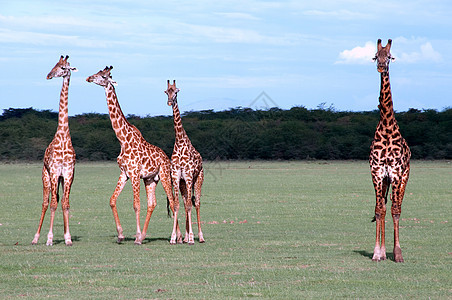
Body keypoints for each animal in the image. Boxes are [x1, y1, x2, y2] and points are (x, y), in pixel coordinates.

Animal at [87, 67, 181, 245]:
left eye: (103, 76)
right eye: (98, 72)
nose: (89, 78)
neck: (122, 139)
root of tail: (167, 158)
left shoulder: (135, 173)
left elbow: (136, 204)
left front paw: (136, 237)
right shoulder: (124, 173)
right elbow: (112, 200)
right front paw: (121, 235)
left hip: (165, 175)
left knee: (172, 202)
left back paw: (177, 237)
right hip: (151, 179)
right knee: (153, 204)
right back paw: (151, 235)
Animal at [164, 81, 205, 245]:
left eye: (176, 92)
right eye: (166, 92)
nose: (170, 102)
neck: (180, 142)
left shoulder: (188, 176)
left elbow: (189, 205)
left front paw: (192, 237)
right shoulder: (176, 177)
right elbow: (177, 205)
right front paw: (174, 237)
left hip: (198, 178)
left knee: (196, 203)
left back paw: (200, 237)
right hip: (183, 183)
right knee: (186, 201)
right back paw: (187, 236)